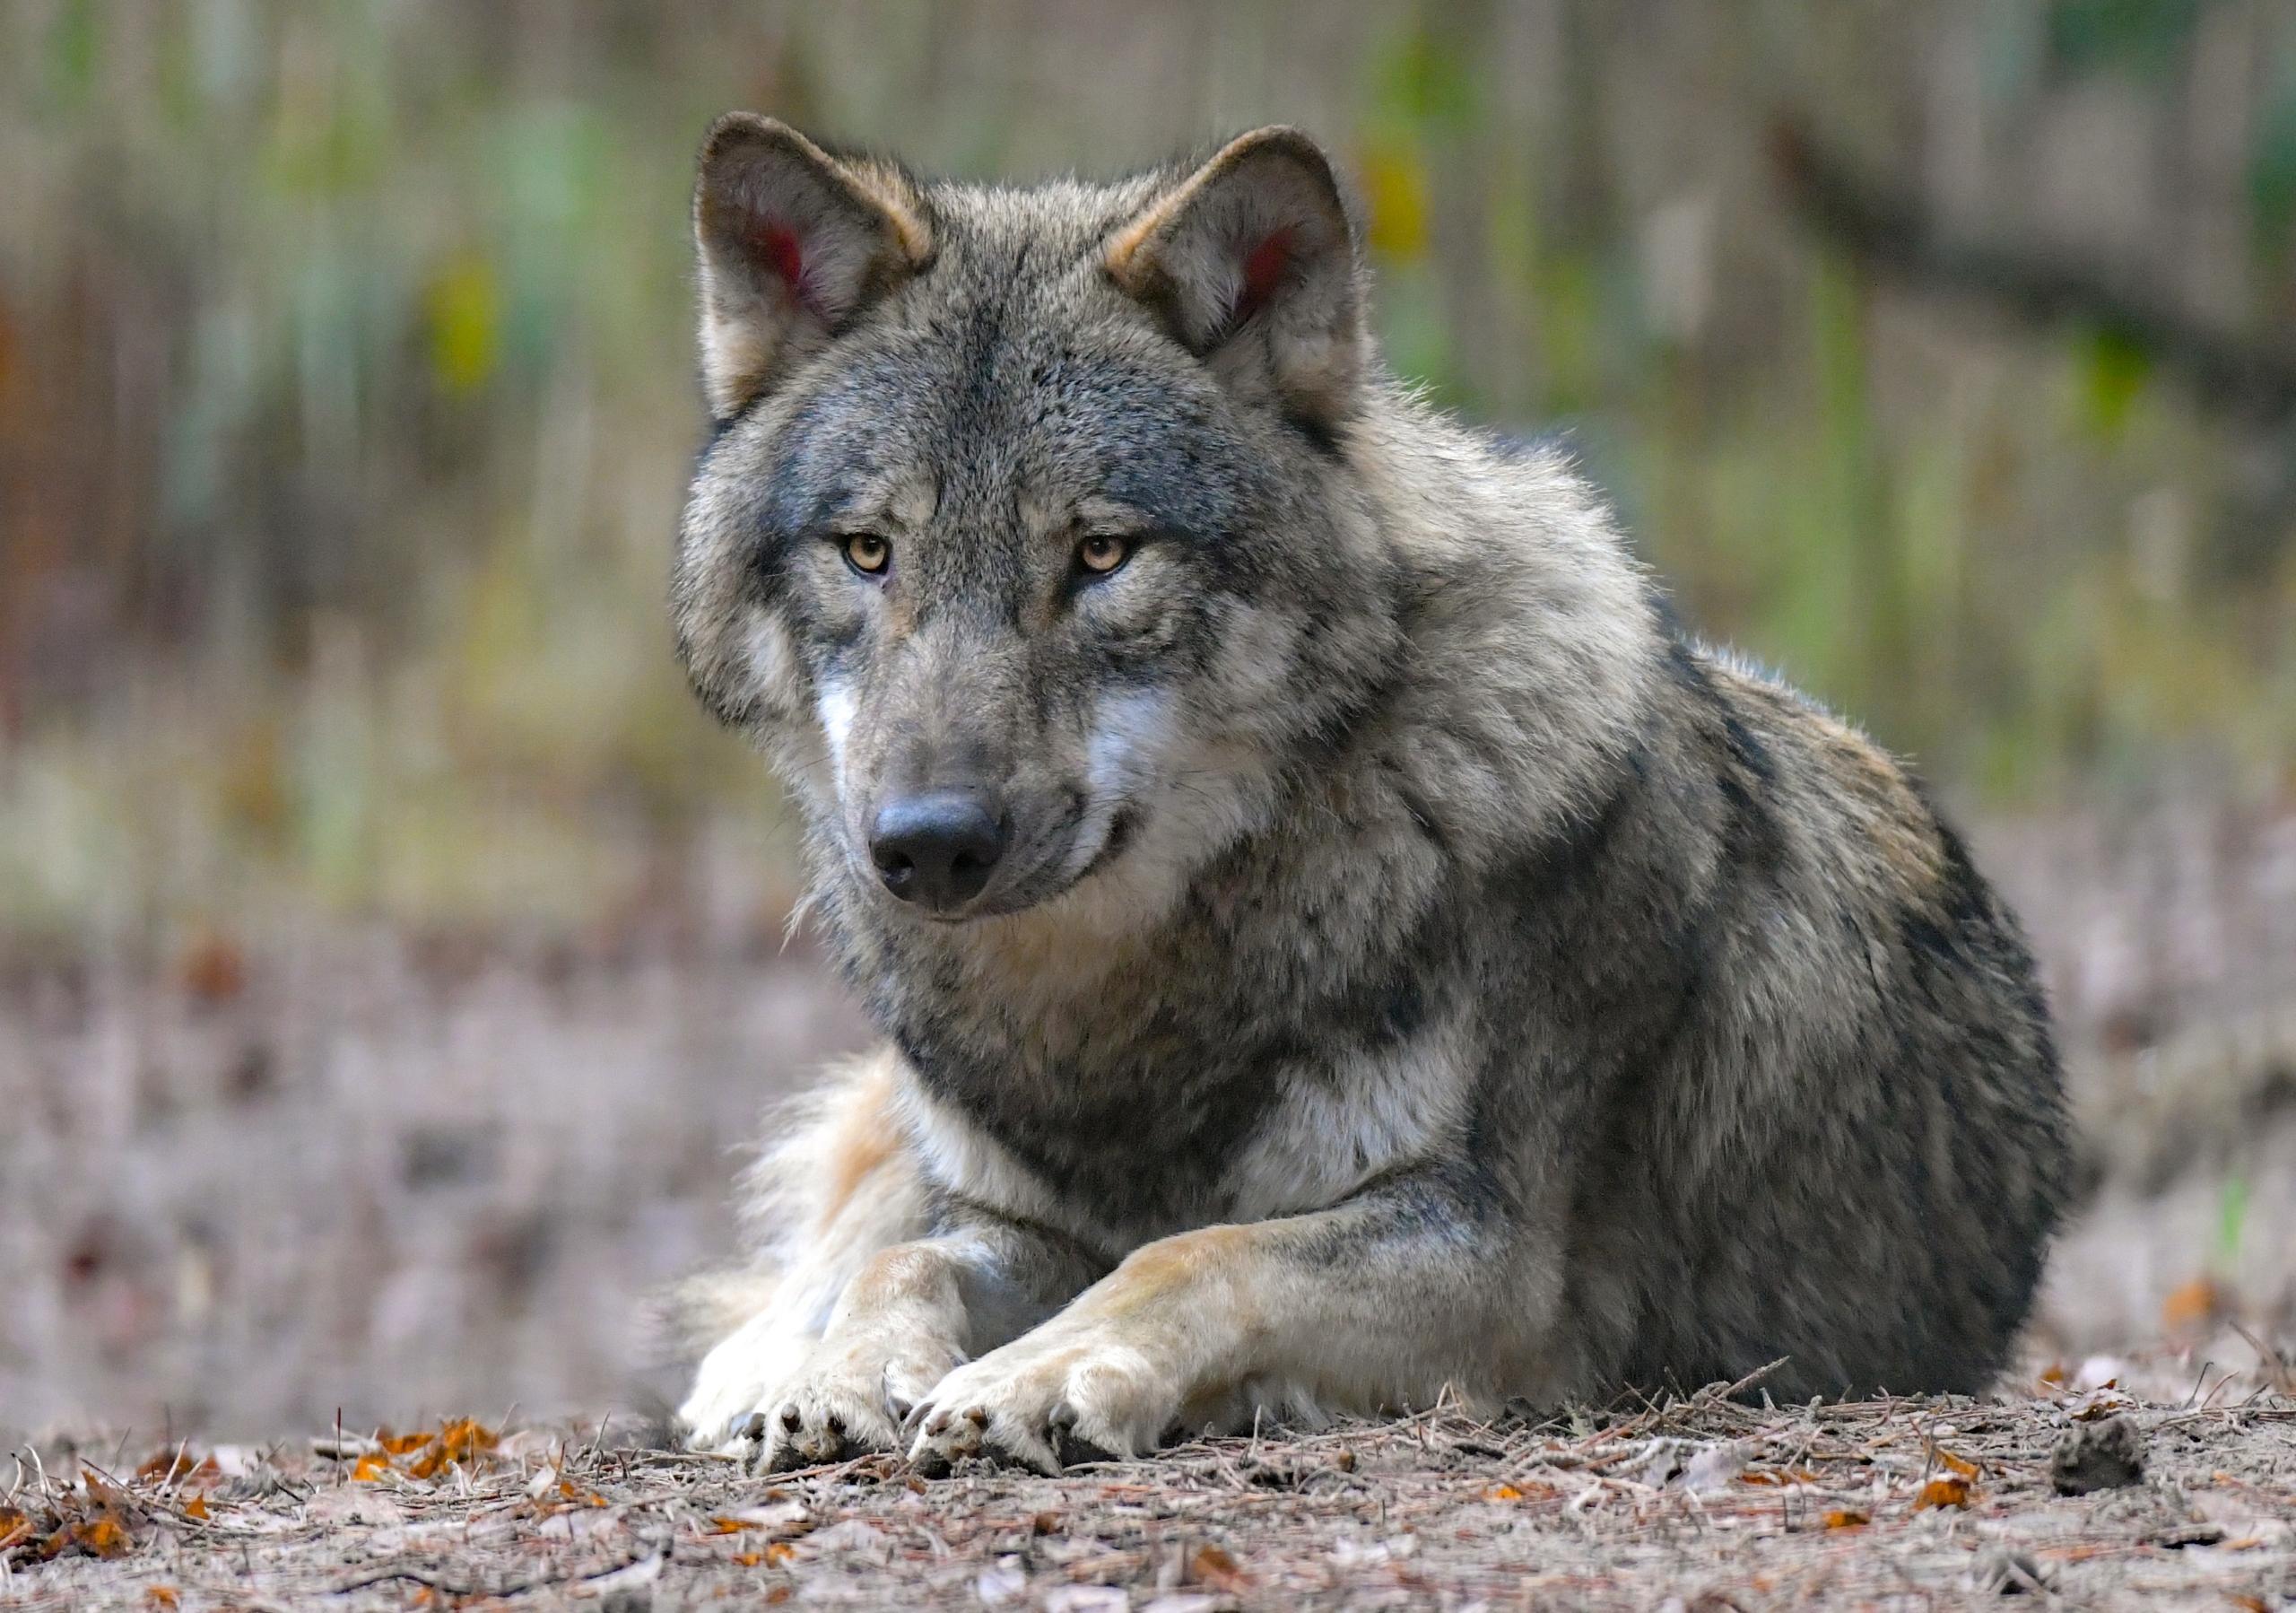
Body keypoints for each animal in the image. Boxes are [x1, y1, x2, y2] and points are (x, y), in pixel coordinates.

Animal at [666, 115, 2070, 1475]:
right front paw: (832, 1376)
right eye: (868, 551)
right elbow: (906, 1260)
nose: (929, 845)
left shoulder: (1488, 1255)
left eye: (1101, 554)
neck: (1126, 1002)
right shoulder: (1008, 1218)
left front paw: (1043, 1373)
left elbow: (1197, 1250)